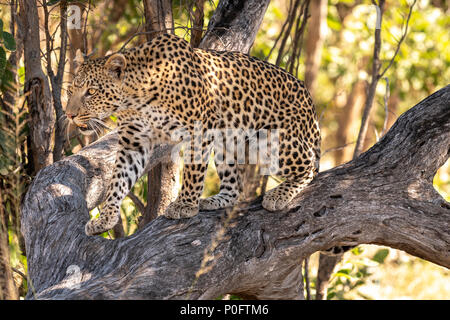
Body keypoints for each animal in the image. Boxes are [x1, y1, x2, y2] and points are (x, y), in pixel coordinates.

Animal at [65, 33, 322, 238]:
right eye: (70, 91)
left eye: (91, 92)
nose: (69, 114)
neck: (136, 98)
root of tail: (312, 107)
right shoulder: (133, 142)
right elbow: (118, 179)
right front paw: (105, 218)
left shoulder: (200, 129)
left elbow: (193, 171)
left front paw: (185, 205)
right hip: (227, 141)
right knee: (235, 187)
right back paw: (215, 200)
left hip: (277, 141)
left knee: (309, 168)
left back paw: (278, 195)